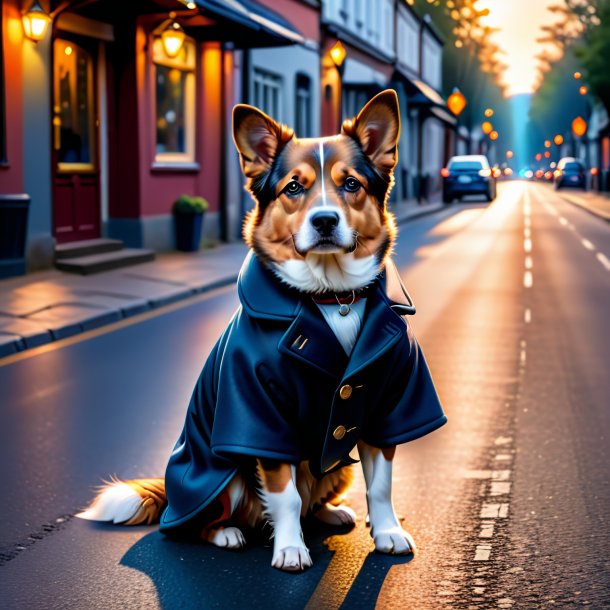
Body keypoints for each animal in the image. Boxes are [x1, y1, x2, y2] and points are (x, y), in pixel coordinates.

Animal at [78, 89, 444, 568]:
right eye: (294, 187)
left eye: (351, 185)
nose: (324, 220)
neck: (332, 298)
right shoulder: (262, 420)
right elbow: (284, 496)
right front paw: (289, 548)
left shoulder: (387, 407)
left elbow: (380, 485)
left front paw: (387, 532)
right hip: (225, 472)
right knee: (212, 519)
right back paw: (228, 533)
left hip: (335, 467)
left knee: (314, 499)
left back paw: (330, 513)